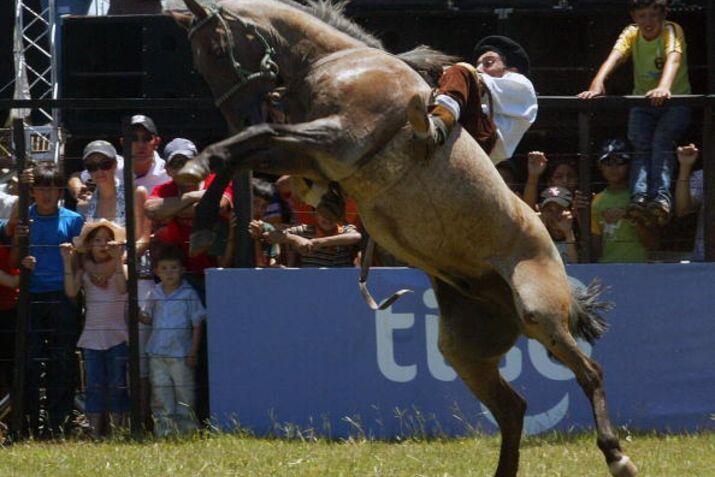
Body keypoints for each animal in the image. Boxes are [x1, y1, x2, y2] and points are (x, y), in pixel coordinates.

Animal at [169, 1, 637, 476]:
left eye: (219, 48)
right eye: (198, 62)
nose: (241, 115)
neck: (338, 62)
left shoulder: (339, 138)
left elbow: (253, 139)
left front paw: (199, 166)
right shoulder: (313, 155)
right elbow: (245, 154)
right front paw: (207, 214)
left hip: (539, 309)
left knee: (590, 372)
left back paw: (618, 455)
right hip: (465, 349)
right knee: (512, 408)